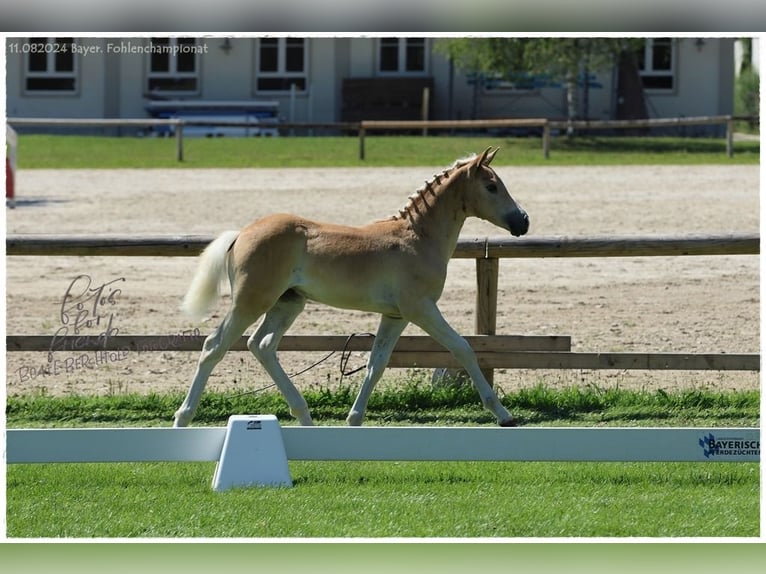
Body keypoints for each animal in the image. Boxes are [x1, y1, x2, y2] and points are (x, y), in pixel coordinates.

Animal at [174, 146, 532, 430]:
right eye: (491, 186)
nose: (523, 221)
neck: (418, 238)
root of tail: (241, 233)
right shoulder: (421, 308)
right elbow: (463, 348)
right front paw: (504, 415)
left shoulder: (396, 316)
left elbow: (377, 363)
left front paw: (354, 419)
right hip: (252, 301)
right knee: (214, 345)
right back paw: (183, 418)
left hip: (288, 303)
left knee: (261, 345)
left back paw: (304, 416)